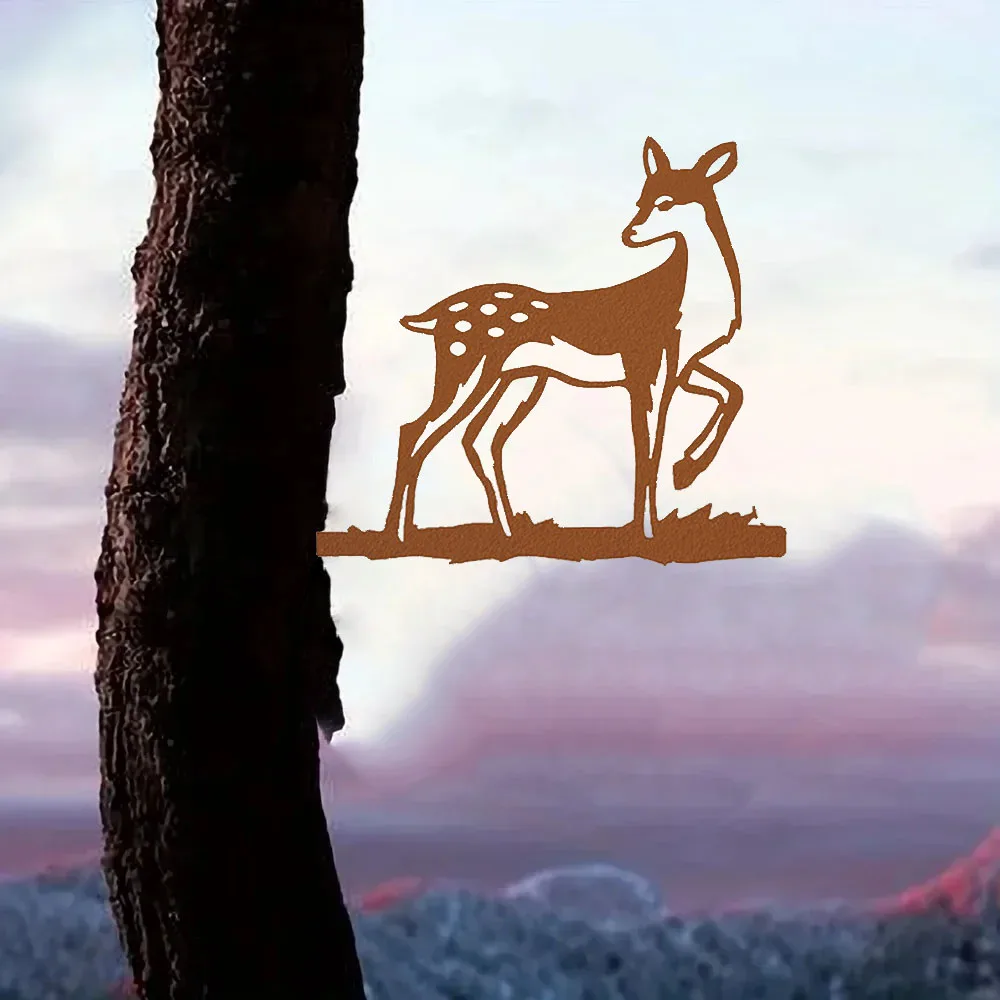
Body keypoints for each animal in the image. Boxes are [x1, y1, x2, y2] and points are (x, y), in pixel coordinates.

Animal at [385, 137, 744, 543]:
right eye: (641, 199)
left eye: (665, 202)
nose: (629, 234)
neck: (682, 304)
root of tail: (434, 315)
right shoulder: (642, 361)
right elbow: (647, 448)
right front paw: (647, 531)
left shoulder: (680, 364)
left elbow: (730, 394)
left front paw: (684, 472)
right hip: (467, 363)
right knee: (417, 429)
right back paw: (397, 535)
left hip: (518, 379)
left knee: (476, 437)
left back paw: (502, 530)